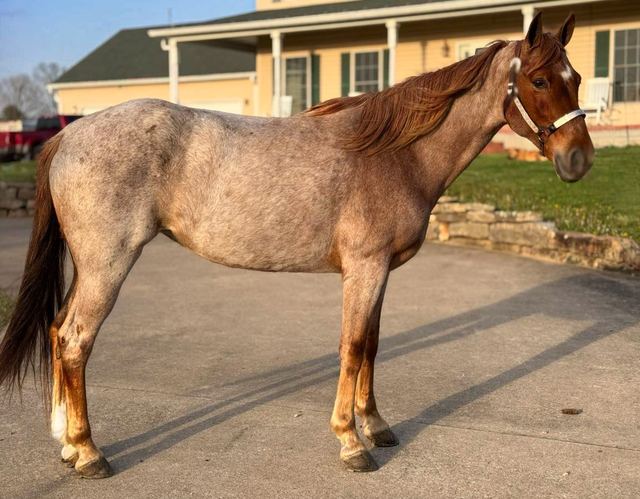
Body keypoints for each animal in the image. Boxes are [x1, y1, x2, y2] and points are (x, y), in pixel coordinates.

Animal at [0, 13, 593, 477]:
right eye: (539, 80)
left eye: (578, 76)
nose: (579, 159)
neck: (396, 155)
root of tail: (70, 134)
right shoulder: (365, 269)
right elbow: (352, 347)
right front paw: (351, 443)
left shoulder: (379, 273)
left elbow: (371, 344)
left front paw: (376, 426)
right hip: (109, 265)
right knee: (75, 340)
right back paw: (89, 453)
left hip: (90, 266)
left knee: (57, 331)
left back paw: (66, 445)